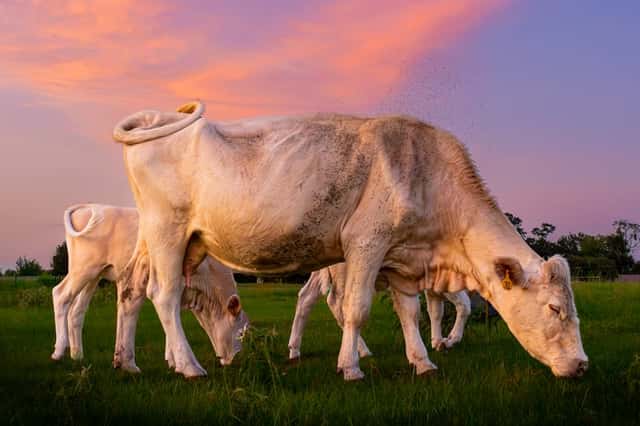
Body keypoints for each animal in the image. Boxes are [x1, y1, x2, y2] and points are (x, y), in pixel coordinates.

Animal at [51, 204, 248, 374]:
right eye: (240, 333)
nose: (235, 361)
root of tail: (89, 206)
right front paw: (179, 363)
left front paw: (172, 361)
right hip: (83, 268)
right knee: (60, 295)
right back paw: (59, 352)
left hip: (94, 276)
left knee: (77, 311)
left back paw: (77, 355)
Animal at [287, 265, 471, 361]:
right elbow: (465, 304)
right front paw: (452, 339)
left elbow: (436, 310)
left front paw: (438, 342)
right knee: (337, 303)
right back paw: (361, 350)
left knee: (306, 296)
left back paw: (294, 350)